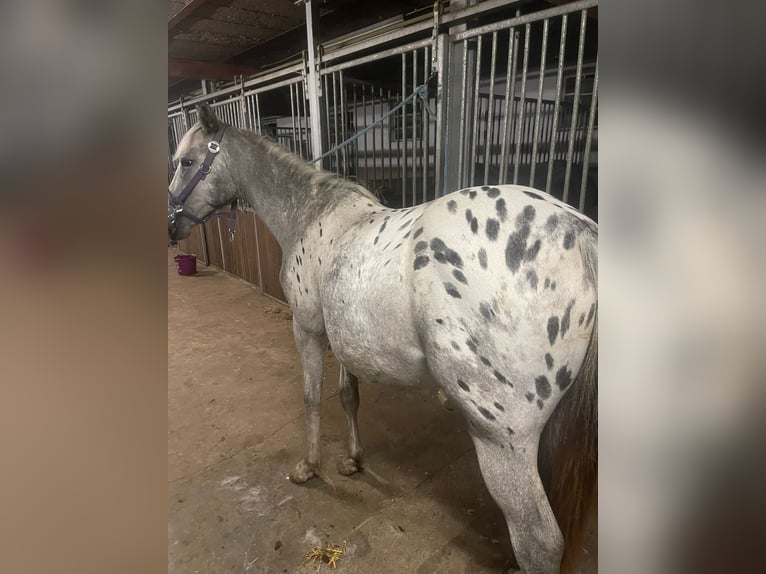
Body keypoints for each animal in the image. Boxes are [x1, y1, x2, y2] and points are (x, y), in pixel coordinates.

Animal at [168, 104, 600, 574]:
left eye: (186, 161)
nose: (171, 226)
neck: (309, 215)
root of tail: (581, 234)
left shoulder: (307, 329)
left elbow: (312, 398)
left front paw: (309, 468)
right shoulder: (344, 338)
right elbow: (347, 396)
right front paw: (352, 461)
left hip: (502, 440)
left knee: (538, 542)